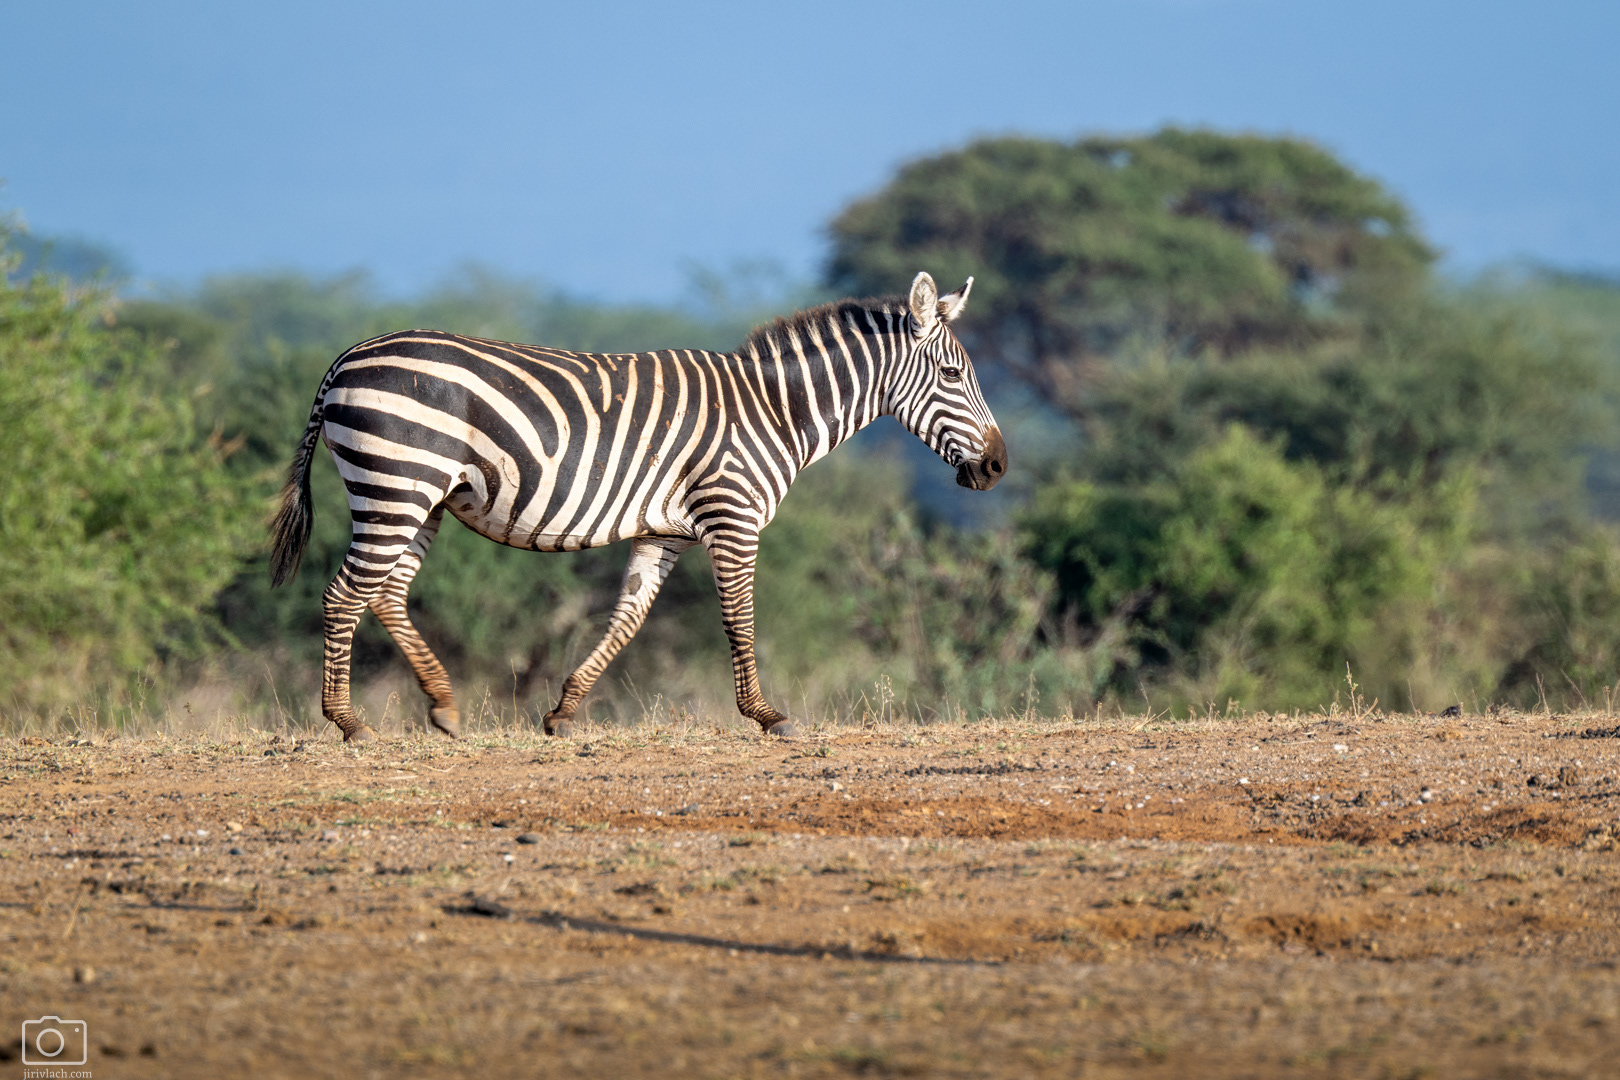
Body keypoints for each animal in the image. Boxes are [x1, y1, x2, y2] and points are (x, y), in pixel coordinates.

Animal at [269, 271, 1006, 743]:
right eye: (952, 375)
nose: (999, 466)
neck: (774, 411)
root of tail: (345, 359)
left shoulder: (667, 530)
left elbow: (628, 619)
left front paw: (564, 712)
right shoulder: (732, 515)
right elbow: (739, 619)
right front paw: (767, 716)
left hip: (422, 498)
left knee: (386, 592)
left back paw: (444, 707)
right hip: (397, 482)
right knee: (344, 594)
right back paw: (347, 722)